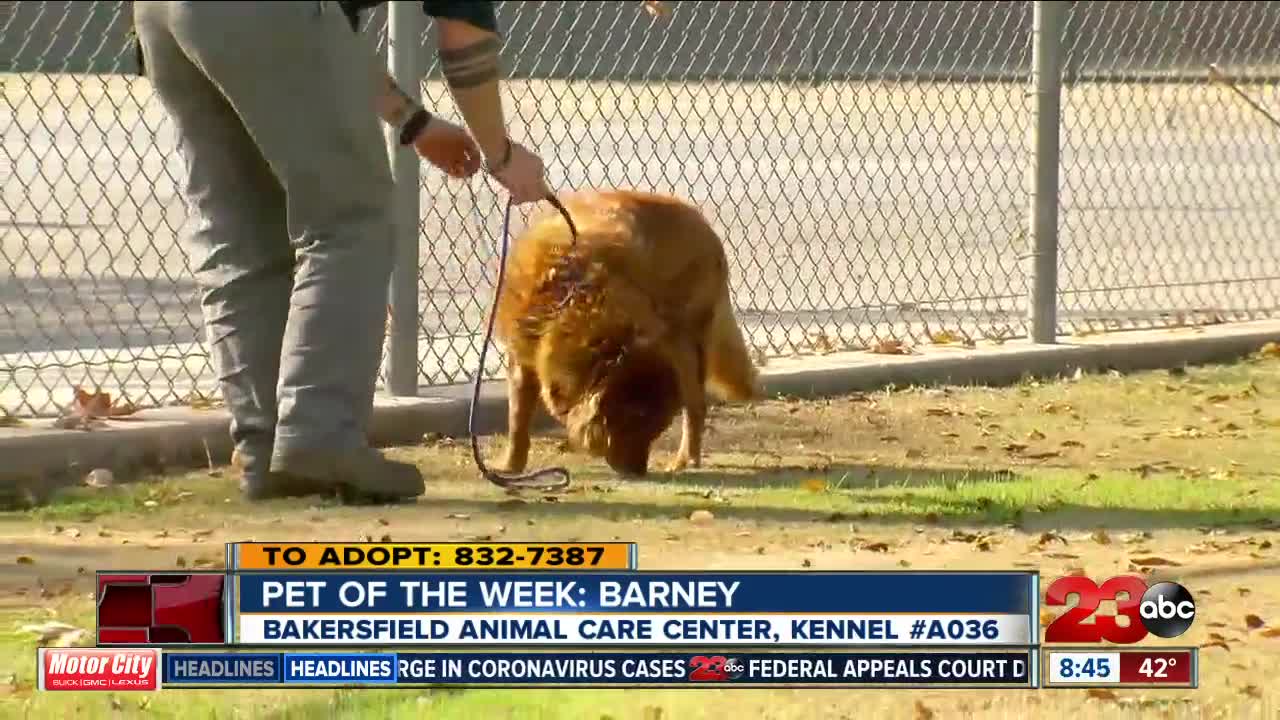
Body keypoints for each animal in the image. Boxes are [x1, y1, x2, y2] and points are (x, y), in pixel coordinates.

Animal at [494, 188, 757, 474]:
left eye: (656, 428)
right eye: (632, 424)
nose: (639, 470)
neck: (569, 292)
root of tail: (707, 229)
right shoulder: (521, 355)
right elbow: (518, 420)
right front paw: (511, 465)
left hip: (686, 341)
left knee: (695, 406)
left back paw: (685, 459)